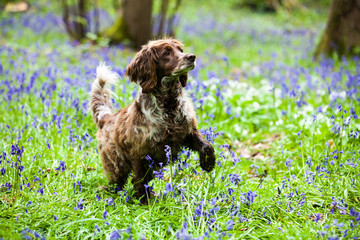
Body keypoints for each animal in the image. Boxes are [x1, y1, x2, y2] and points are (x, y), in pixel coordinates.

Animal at [89, 38, 215, 203]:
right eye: (167, 52)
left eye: (180, 50)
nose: (191, 57)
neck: (169, 104)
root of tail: (106, 118)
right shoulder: (140, 151)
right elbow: (139, 180)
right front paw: (145, 202)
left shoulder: (187, 133)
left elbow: (207, 146)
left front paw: (208, 163)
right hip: (117, 165)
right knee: (116, 183)